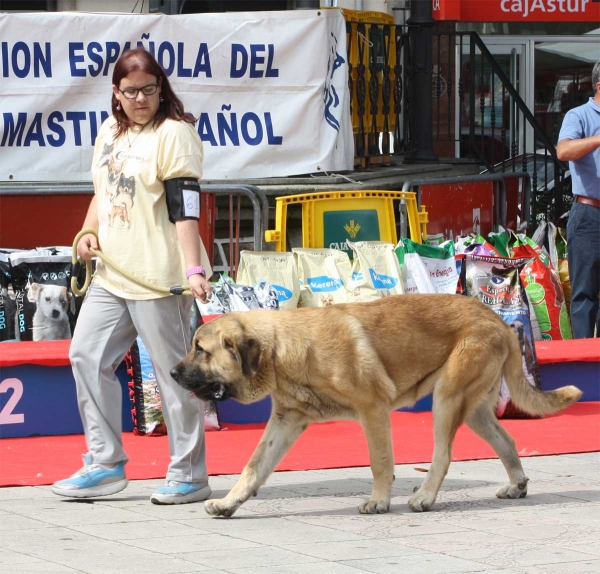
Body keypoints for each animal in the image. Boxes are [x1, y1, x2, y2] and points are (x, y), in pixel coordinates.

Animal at [170, 294, 580, 520]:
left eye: (201, 350)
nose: (172, 372)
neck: (284, 350)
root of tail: (497, 319)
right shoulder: (285, 421)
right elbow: (254, 467)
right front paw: (228, 504)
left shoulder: (373, 410)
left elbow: (380, 462)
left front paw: (380, 501)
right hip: (474, 407)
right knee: (506, 441)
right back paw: (517, 485)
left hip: (448, 399)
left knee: (443, 454)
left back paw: (425, 497)